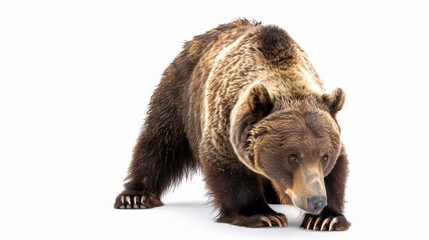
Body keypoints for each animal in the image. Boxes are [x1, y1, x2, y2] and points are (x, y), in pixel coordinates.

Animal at [114, 18, 352, 231]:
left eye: (324, 156)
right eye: (292, 156)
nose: (316, 201)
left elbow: (335, 173)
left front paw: (326, 219)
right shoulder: (226, 127)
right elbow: (231, 172)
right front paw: (263, 215)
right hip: (180, 91)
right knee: (160, 140)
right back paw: (135, 196)